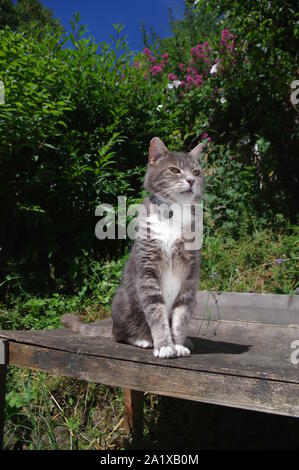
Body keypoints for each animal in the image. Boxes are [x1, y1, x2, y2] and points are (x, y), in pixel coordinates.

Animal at [61, 138, 205, 358]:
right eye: (174, 170)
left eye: (196, 172)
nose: (191, 180)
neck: (174, 213)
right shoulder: (147, 269)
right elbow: (156, 311)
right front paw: (165, 345)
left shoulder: (190, 273)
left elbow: (181, 314)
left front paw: (178, 344)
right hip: (123, 303)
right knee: (119, 334)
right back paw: (142, 340)